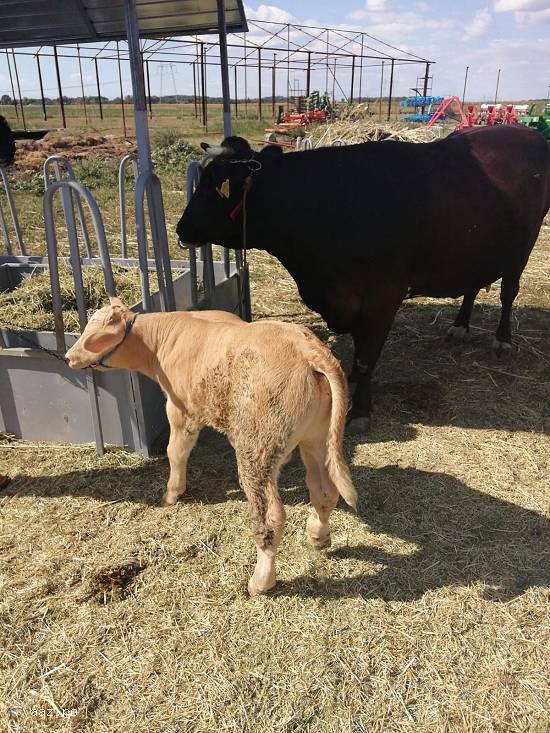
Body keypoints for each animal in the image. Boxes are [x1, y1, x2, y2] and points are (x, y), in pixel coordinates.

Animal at [65, 299, 357, 596]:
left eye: (92, 335)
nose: (67, 356)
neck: (162, 342)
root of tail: (307, 349)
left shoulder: (182, 409)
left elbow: (176, 451)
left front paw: (172, 494)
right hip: (316, 438)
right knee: (324, 491)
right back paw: (318, 536)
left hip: (258, 449)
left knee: (272, 517)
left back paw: (261, 581)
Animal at [176, 126, 550, 432]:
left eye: (212, 187)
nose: (181, 229)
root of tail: (525, 134)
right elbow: (358, 348)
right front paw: (352, 378)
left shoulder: (382, 297)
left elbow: (368, 354)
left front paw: (360, 410)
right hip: (475, 251)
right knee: (472, 286)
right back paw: (460, 325)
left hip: (522, 248)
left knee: (508, 293)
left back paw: (502, 339)